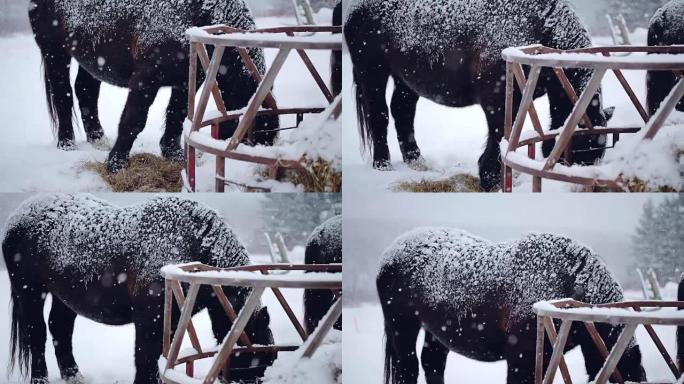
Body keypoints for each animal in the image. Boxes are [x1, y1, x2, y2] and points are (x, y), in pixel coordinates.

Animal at [3, 196, 276, 382]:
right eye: (255, 360)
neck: (190, 242)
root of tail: (18, 216)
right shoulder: (150, 318)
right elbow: (145, 357)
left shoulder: (171, 319)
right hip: (30, 292)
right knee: (36, 334)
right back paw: (40, 378)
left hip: (65, 297)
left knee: (60, 328)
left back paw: (74, 375)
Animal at [31, 0, 278, 171]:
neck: (196, 15)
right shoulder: (145, 81)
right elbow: (133, 121)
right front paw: (117, 163)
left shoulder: (187, 81)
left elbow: (177, 114)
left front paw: (172, 153)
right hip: (54, 50)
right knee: (63, 94)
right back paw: (66, 143)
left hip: (91, 57)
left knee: (85, 91)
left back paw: (98, 139)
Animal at [348, 0, 616, 191]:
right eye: (582, 147)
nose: (570, 185)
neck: (537, 26)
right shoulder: (497, 98)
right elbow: (499, 132)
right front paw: (490, 177)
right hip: (373, 73)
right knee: (379, 114)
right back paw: (382, 164)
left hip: (406, 80)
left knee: (402, 111)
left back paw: (416, 160)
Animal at [376, 230, 644, 382]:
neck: (564, 280)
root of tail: (391, 252)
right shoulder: (522, 357)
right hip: (402, 327)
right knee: (408, 367)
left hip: (438, 331)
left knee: (432, 363)